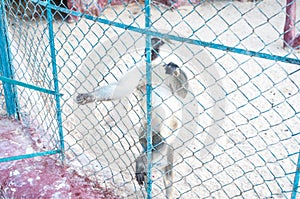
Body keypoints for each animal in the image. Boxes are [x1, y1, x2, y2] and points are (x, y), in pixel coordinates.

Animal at [75, 38, 189, 198]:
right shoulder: (140, 73)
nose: (151, 52)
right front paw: (90, 96)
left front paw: (175, 69)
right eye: (151, 50)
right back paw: (142, 161)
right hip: (151, 134)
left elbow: (182, 93)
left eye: (156, 49)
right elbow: (120, 89)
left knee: (164, 148)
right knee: (155, 142)